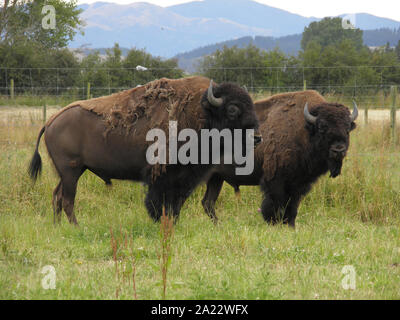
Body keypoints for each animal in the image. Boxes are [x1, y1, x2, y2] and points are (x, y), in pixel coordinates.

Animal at [28, 76, 260, 225]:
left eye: (251, 105)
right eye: (233, 109)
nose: (257, 137)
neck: (201, 113)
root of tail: (50, 121)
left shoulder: (185, 178)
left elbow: (177, 201)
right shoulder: (163, 175)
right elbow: (160, 200)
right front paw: (162, 221)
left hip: (70, 172)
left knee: (57, 196)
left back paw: (58, 226)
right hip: (71, 172)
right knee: (67, 199)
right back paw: (76, 226)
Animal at [202, 90, 358, 228]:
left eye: (347, 129)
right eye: (322, 127)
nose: (338, 150)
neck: (304, 130)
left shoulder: (299, 184)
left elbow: (292, 207)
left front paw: (291, 226)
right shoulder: (275, 180)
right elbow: (275, 205)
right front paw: (274, 224)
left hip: (216, 178)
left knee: (208, 202)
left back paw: (218, 226)